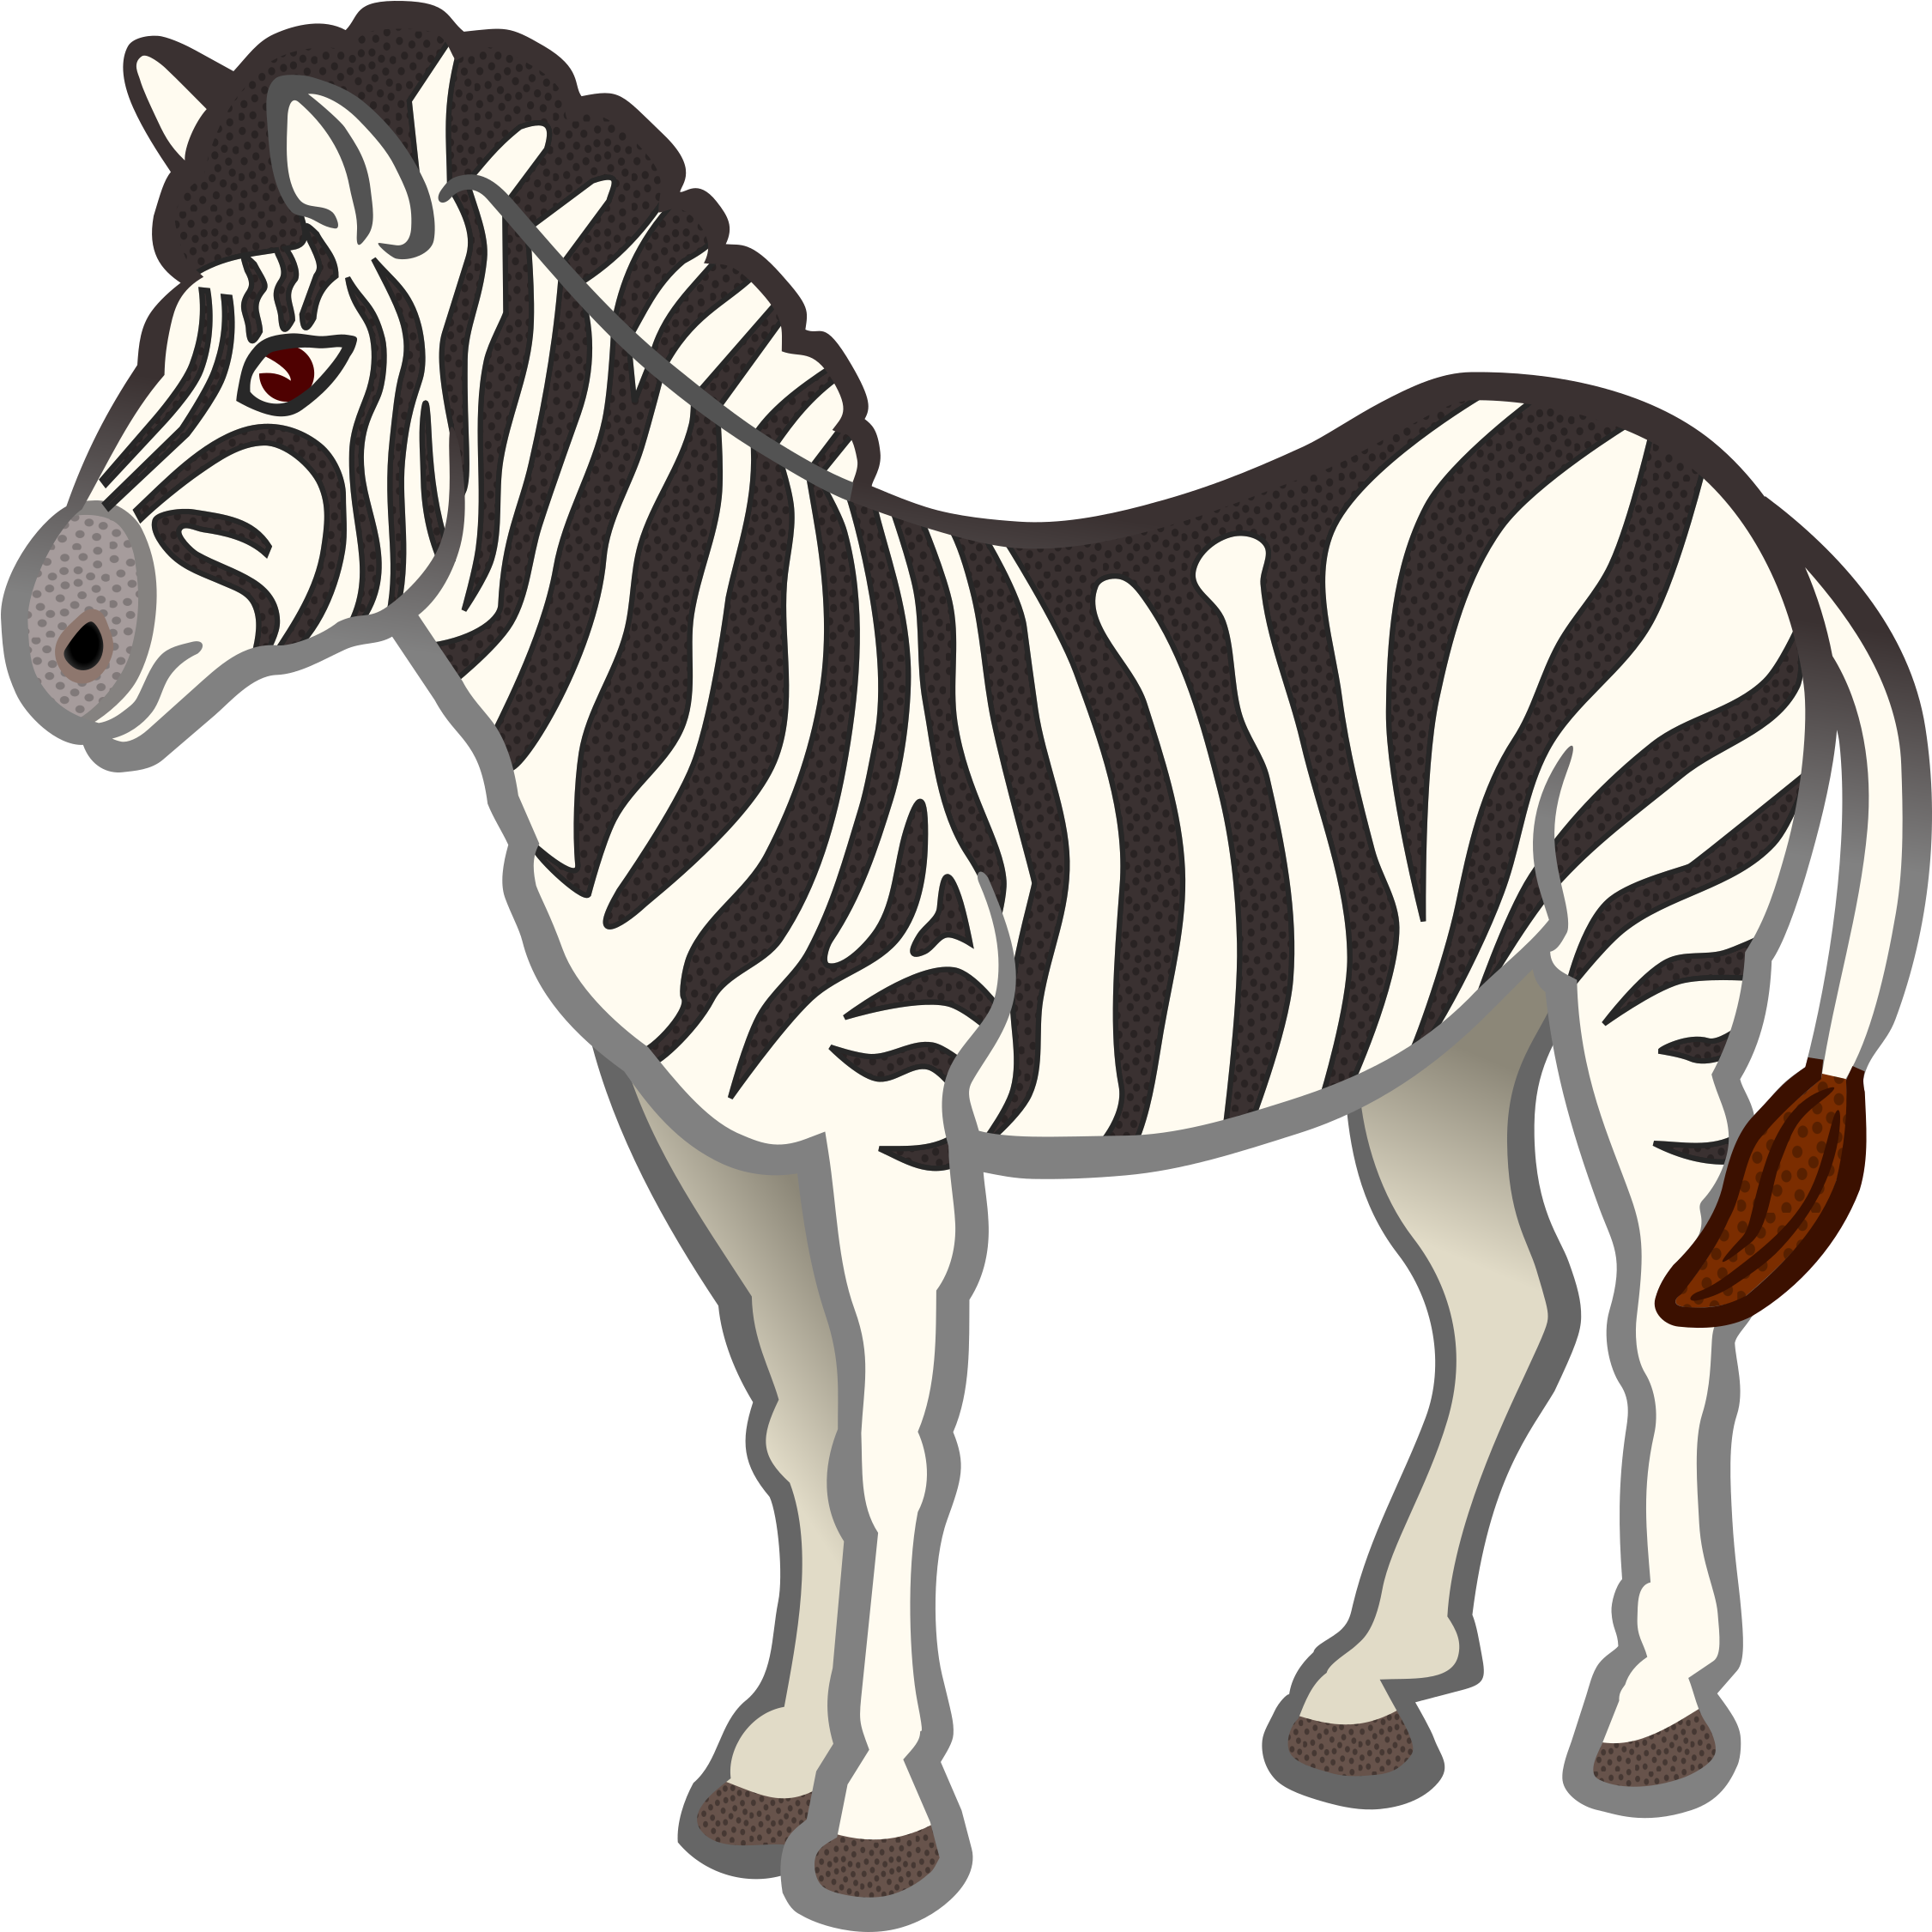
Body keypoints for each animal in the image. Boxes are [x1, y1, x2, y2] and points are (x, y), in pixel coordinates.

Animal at [8, 10, 1924, 1922]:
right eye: (154, 355)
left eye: (288, 373)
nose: (53, 650)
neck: (700, 677)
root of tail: (1713, 480)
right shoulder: (696, 1123)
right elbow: (795, 1429)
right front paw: (764, 1774)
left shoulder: (887, 1093)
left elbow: (886, 1445)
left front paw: (875, 1821)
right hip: (1460, 1014)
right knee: (1505, 1299)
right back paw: (1369, 1691)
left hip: (1653, 931)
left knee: (1666, 1295)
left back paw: (1653, 1715)